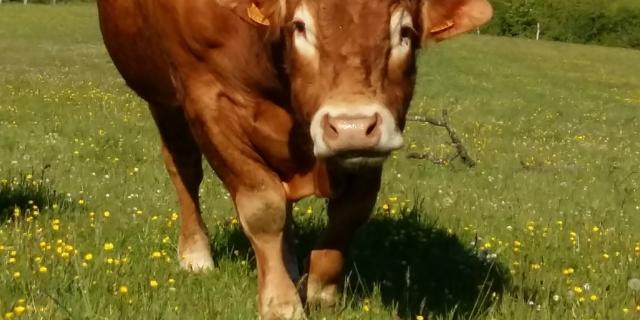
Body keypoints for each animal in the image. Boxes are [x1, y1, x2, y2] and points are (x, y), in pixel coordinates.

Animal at [97, 0, 492, 318]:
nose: (351, 127)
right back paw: (196, 255)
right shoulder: (207, 98)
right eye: (300, 26)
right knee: (185, 170)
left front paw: (320, 291)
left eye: (405, 32)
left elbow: (350, 212)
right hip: (163, 100)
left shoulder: (381, 132)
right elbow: (262, 207)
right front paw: (281, 303)